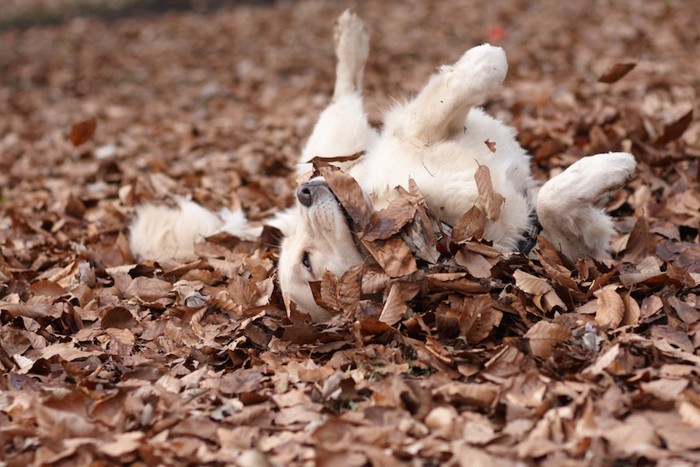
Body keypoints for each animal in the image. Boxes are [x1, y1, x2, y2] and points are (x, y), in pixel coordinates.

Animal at [129, 11, 636, 326]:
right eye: (306, 261)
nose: (305, 193)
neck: (439, 221)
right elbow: (548, 200)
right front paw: (614, 167)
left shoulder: (414, 134)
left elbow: (446, 101)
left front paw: (483, 64)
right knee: (343, 96)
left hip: (337, 146)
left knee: (344, 91)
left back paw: (351, 37)